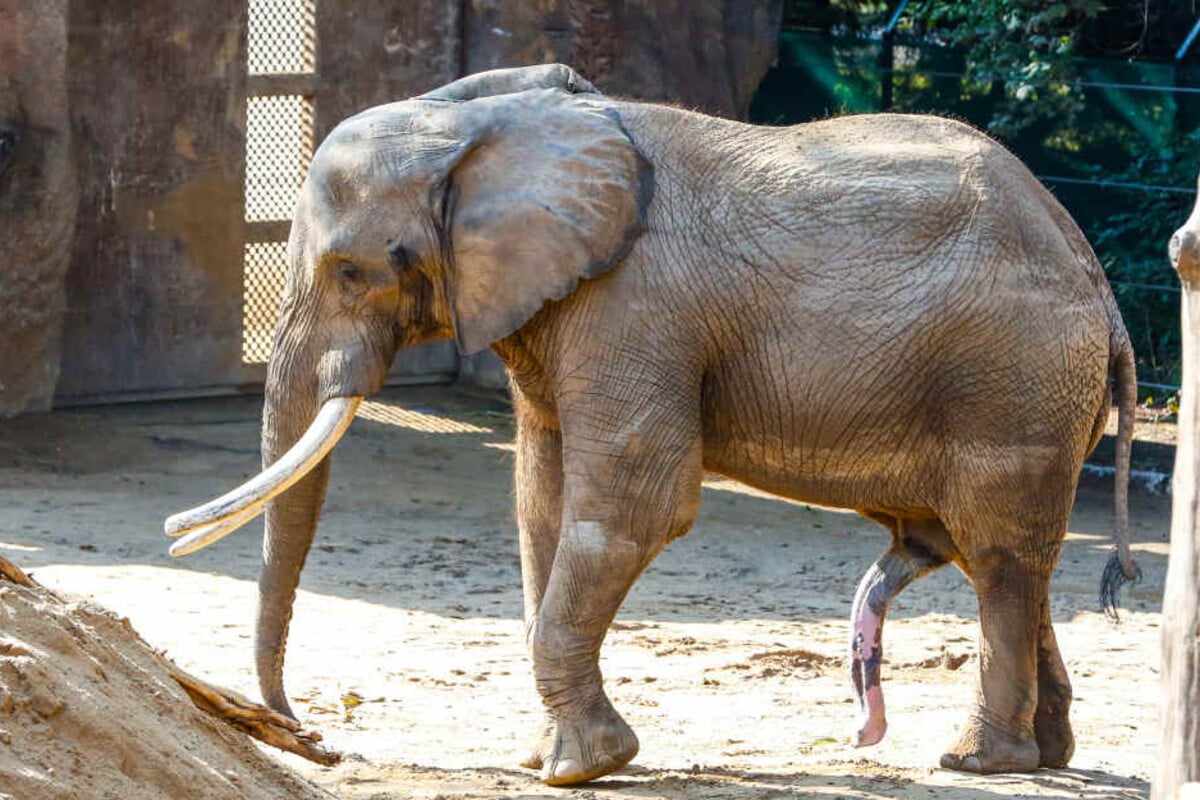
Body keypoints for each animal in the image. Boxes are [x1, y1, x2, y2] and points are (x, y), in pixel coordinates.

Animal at [164, 64, 1137, 786]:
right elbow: (541, 503)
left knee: (998, 553)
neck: (483, 121)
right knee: (1001, 555)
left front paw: (581, 768)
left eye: (350, 270)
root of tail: (1099, 284)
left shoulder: (633, 307)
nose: (307, 731)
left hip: (1013, 378)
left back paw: (979, 761)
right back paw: (1045, 753)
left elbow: (635, 502)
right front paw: (544, 756)